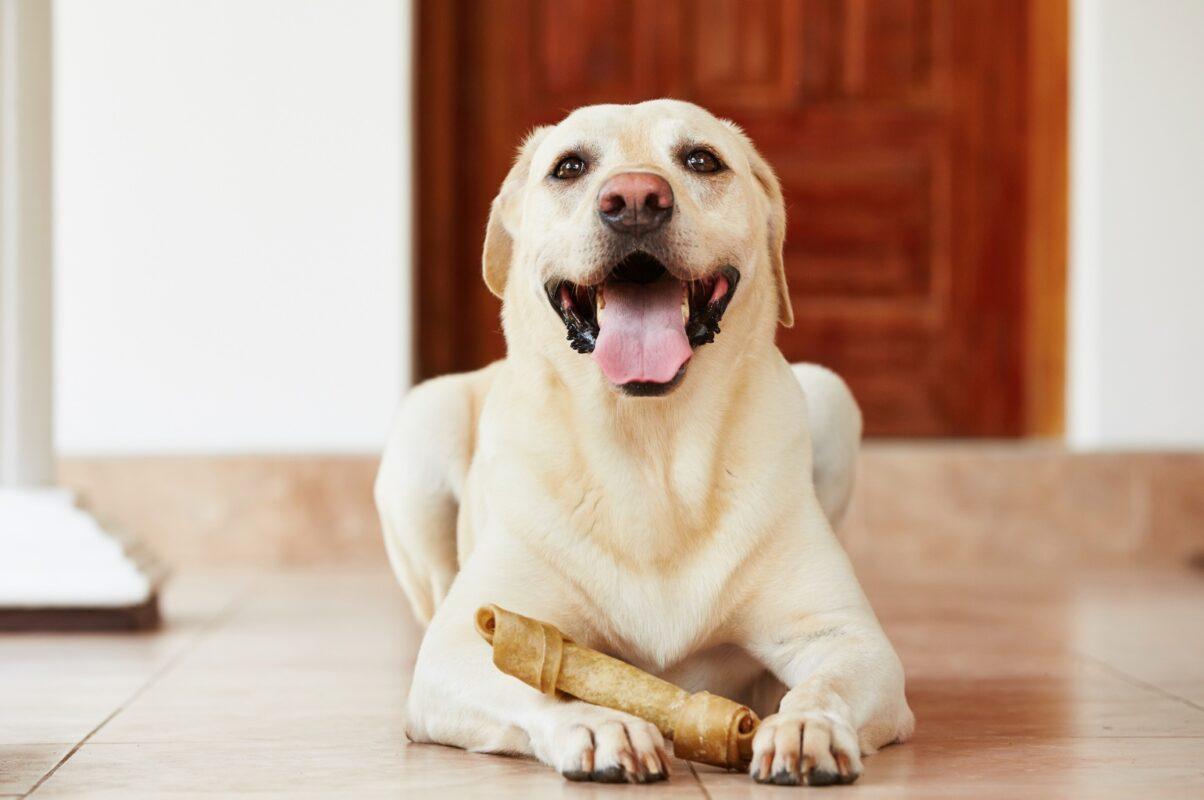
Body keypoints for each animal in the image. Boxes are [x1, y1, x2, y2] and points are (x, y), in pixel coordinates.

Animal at [375, 100, 910, 785]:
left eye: (702, 159)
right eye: (569, 167)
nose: (634, 199)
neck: (651, 450)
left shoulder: (845, 637)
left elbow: (828, 685)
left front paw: (805, 727)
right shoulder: (463, 646)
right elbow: (541, 678)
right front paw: (602, 725)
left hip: (833, 395)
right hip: (424, 421)